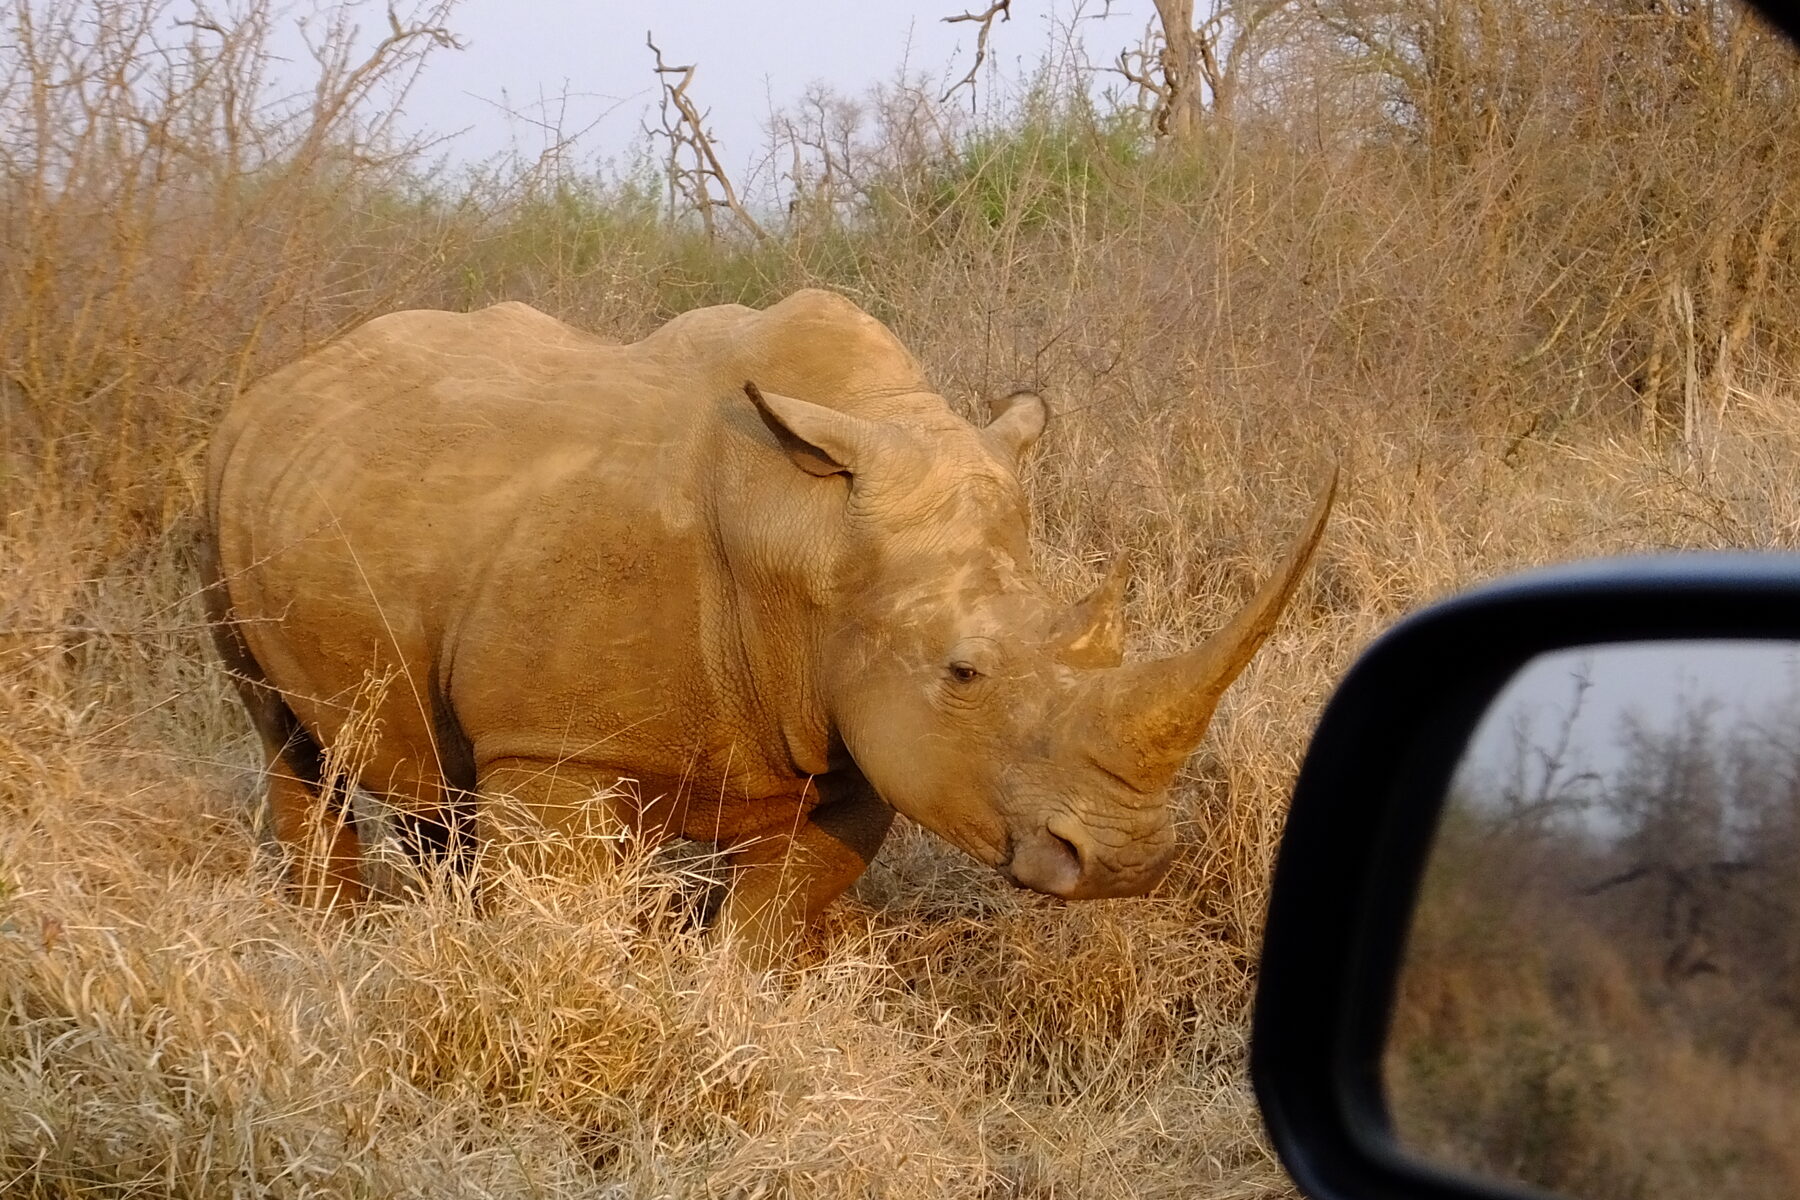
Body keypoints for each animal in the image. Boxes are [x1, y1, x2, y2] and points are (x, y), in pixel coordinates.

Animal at [203, 289, 1334, 962]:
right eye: (964, 673)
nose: (1130, 863)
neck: (812, 532)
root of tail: (290, 374)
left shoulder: (857, 745)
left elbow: (769, 921)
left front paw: (724, 1004)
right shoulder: (553, 746)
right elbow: (555, 910)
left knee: (423, 765)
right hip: (219, 488)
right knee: (283, 731)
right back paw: (329, 936)